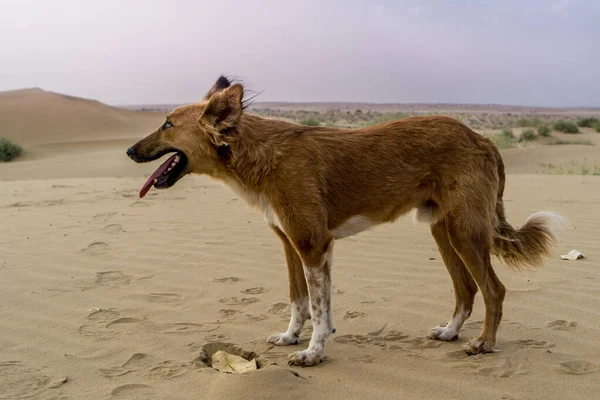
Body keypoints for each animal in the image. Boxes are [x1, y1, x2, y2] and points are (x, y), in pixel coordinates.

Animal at [126, 75, 568, 366]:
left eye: (167, 123)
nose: (129, 151)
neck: (262, 156)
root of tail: (483, 138)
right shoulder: (292, 245)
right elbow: (299, 301)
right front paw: (291, 338)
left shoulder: (313, 245)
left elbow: (320, 309)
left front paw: (313, 351)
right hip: (443, 230)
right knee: (467, 290)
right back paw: (450, 331)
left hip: (464, 232)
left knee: (493, 290)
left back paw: (483, 344)